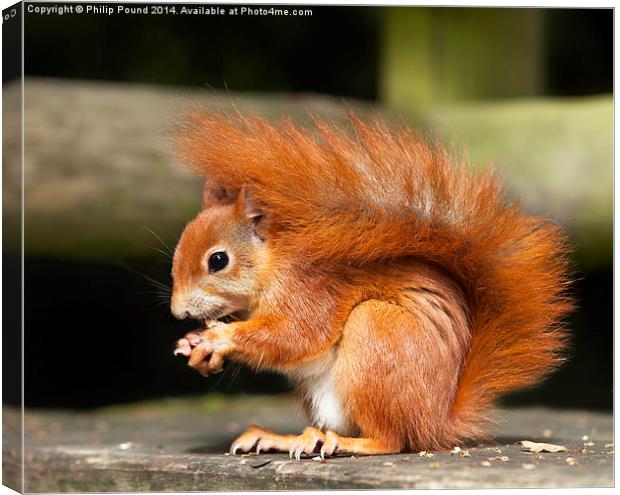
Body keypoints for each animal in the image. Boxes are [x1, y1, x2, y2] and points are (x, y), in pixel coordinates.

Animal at [170, 110, 572, 460]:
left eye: (217, 260)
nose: (178, 311)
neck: (273, 264)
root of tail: (436, 422)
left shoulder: (311, 288)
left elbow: (297, 336)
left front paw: (220, 338)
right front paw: (193, 342)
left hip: (376, 334)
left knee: (391, 439)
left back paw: (344, 443)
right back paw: (288, 438)